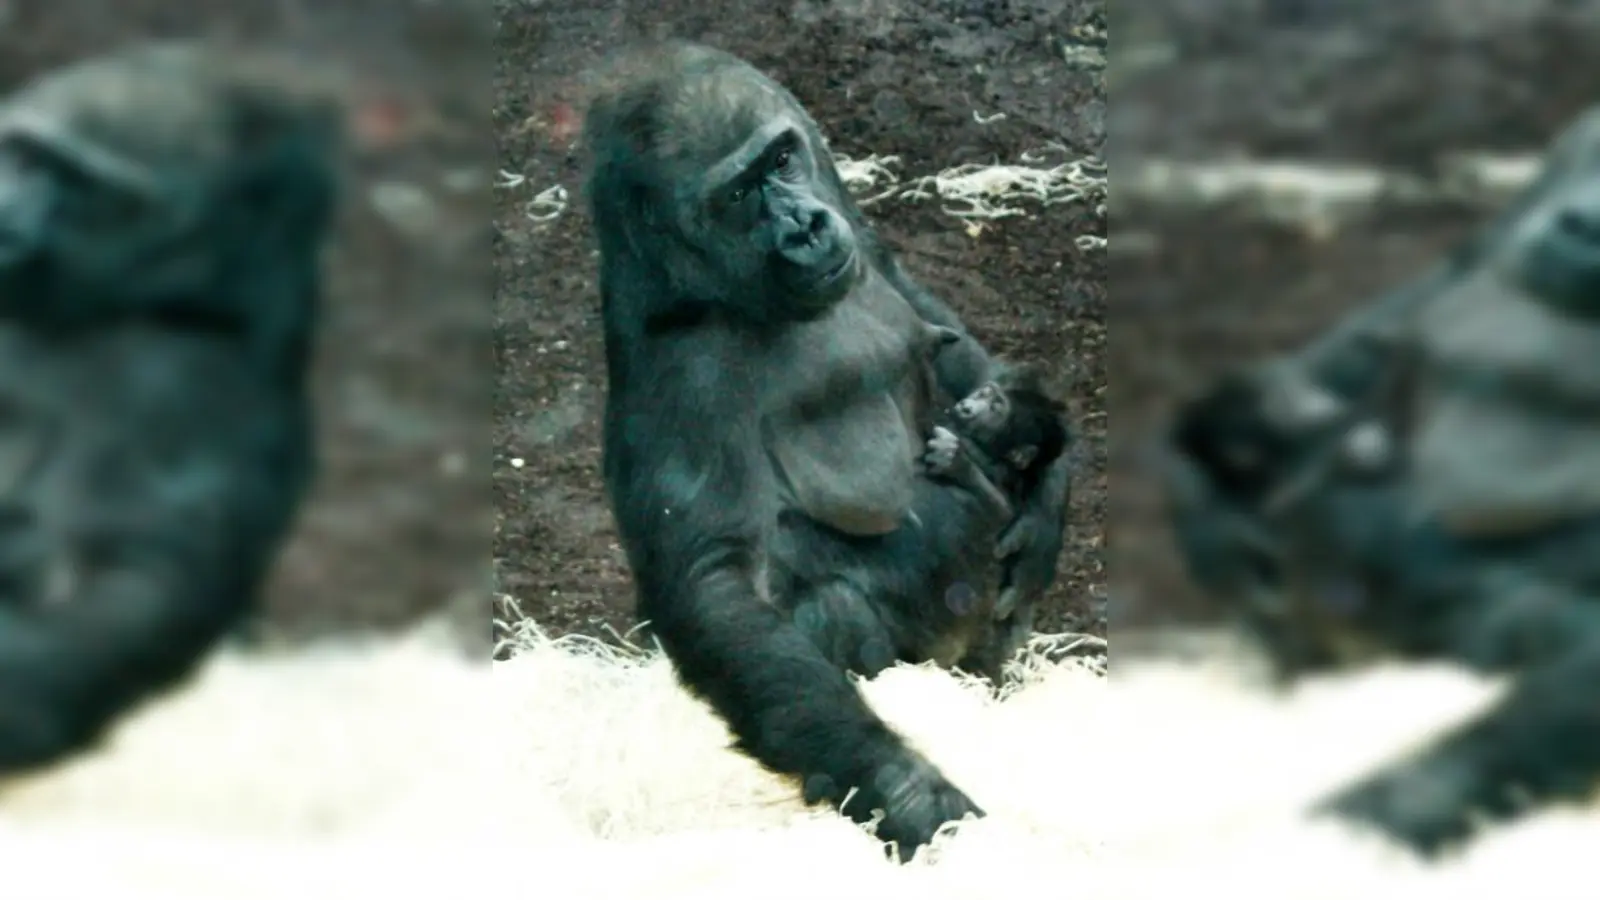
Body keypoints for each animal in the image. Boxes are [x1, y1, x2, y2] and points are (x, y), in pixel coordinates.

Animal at [583, 41, 1073, 860]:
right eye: (739, 193)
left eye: (781, 160)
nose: (803, 227)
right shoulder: (683, 371)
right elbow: (718, 587)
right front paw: (907, 790)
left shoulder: (856, 225)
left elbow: (941, 336)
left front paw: (1045, 503)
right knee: (830, 616)